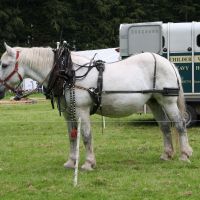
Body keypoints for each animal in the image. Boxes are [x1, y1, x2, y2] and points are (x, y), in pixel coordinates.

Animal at [0, 43, 193, 170]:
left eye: (4, 65)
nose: (0, 90)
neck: (68, 73)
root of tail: (167, 62)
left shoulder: (82, 110)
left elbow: (86, 136)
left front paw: (88, 163)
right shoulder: (69, 113)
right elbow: (72, 137)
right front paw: (71, 162)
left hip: (168, 102)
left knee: (179, 125)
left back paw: (184, 155)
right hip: (154, 102)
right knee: (165, 127)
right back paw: (166, 154)